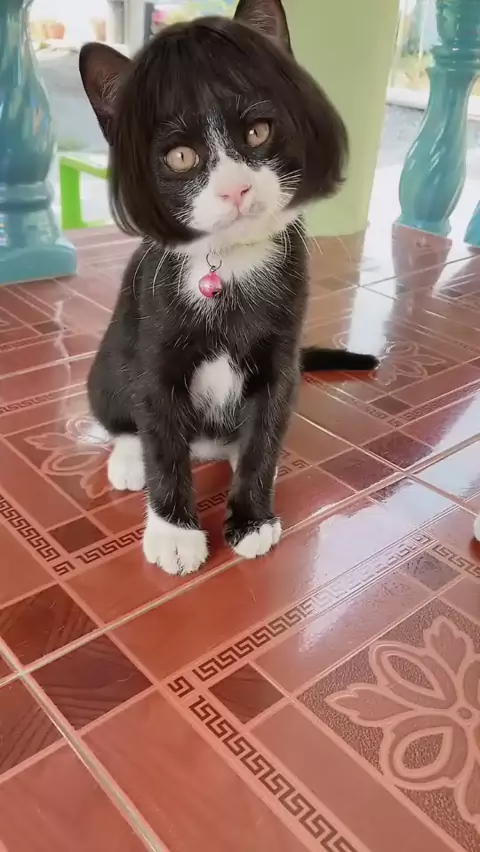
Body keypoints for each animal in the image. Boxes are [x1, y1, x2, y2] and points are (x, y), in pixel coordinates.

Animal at [79, 0, 378, 576]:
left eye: (259, 132)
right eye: (180, 158)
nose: (236, 188)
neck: (229, 264)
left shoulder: (282, 356)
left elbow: (265, 432)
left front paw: (253, 516)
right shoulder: (154, 356)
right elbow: (161, 442)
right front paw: (175, 533)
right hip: (110, 355)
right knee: (124, 415)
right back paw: (128, 456)